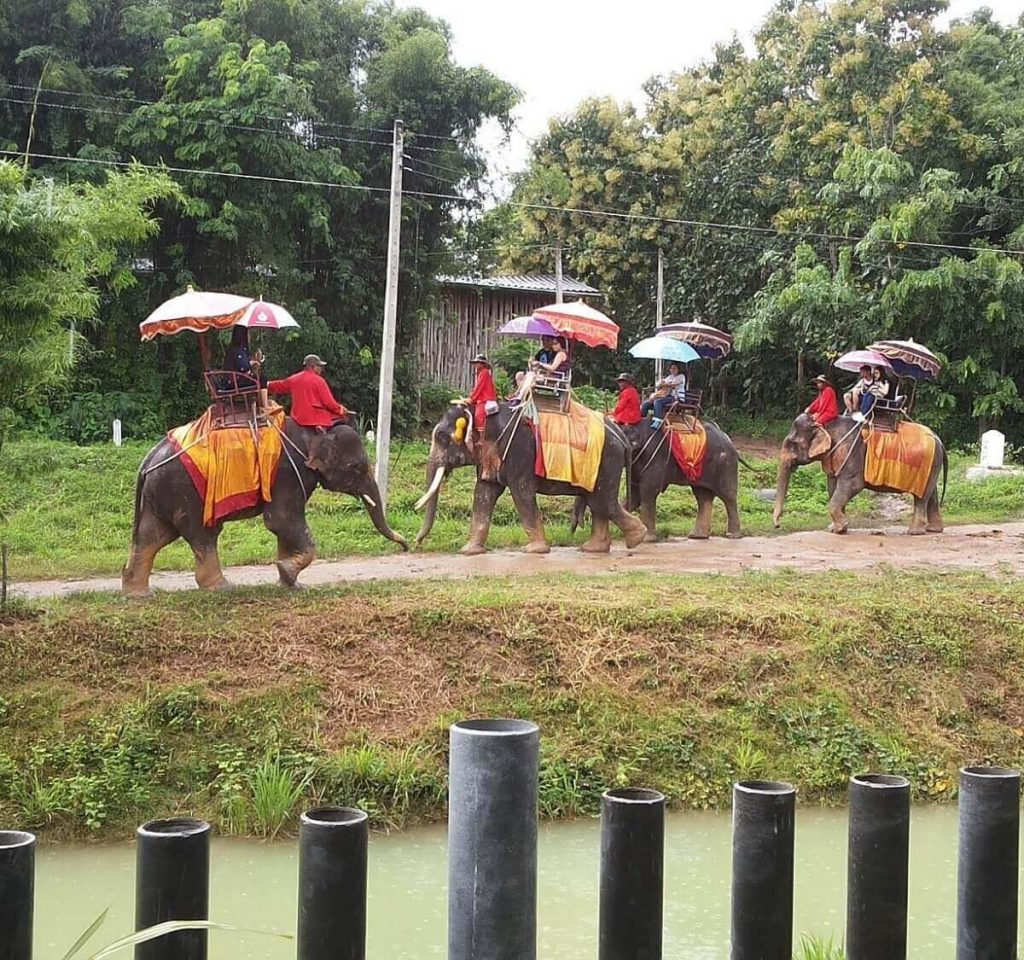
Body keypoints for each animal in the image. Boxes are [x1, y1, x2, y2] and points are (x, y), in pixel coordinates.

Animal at [121, 417, 405, 593]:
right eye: (356, 467)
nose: (406, 546)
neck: (314, 431)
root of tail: (146, 462)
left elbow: (284, 528)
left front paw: (291, 583)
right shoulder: (288, 472)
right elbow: (282, 521)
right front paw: (286, 570)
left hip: (159, 498)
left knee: (151, 537)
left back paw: (137, 593)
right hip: (187, 494)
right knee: (203, 535)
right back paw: (222, 588)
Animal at [409, 401, 643, 552]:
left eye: (441, 437)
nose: (415, 544)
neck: (481, 413)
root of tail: (620, 434)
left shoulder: (518, 450)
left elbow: (521, 493)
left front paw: (534, 550)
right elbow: (484, 493)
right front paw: (469, 551)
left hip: (607, 461)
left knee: (601, 501)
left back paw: (636, 537)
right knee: (598, 504)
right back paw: (593, 549)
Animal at [770, 409, 946, 536]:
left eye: (793, 444)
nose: (777, 525)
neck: (825, 425)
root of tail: (939, 439)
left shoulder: (851, 454)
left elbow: (852, 485)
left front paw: (840, 528)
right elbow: (833, 486)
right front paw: (835, 529)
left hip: (928, 463)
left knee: (921, 497)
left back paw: (914, 532)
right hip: (932, 465)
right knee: (931, 493)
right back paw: (933, 530)